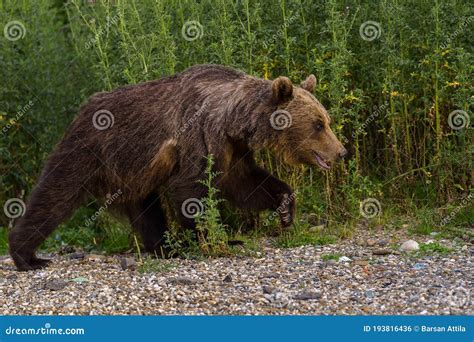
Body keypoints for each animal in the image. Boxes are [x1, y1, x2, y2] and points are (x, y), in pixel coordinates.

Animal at [9, 65, 346, 270]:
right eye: (318, 124)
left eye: (326, 120)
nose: (341, 151)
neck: (232, 119)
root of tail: (82, 108)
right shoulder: (199, 136)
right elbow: (191, 189)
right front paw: (212, 239)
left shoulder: (233, 149)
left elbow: (245, 183)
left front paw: (286, 207)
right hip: (89, 149)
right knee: (56, 193)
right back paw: (26, 256)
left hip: (132, 169)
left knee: (146, 209)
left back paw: (163, 247)